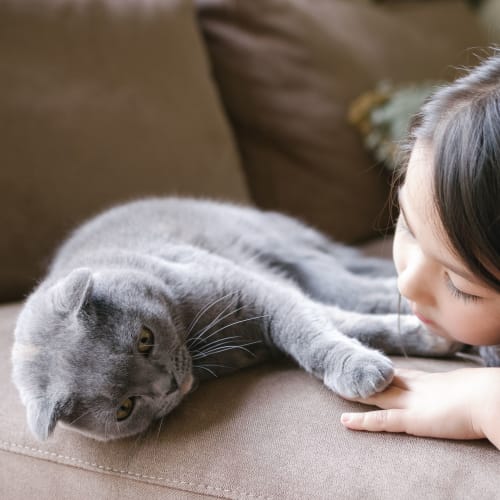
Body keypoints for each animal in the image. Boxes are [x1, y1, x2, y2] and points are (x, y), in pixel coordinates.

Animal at [10, 197, 458, 440]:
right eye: (125, 408)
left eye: (144, 339)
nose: (169, 385)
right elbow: (339, 323)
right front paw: (424, 341)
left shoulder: (257, 290)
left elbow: (313, 333)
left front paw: (363, 367)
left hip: (292, 251)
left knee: (357, 285)